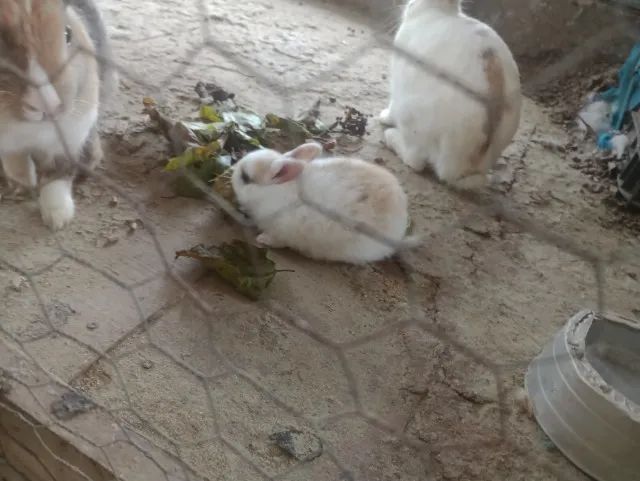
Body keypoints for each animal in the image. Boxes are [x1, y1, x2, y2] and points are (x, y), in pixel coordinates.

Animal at [0, 0, 115, 230]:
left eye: (68, 33)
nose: (48, 104)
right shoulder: (8, 143)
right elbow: (15, 161)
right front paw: (25, 181)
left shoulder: (70, 139)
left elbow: (57, 176)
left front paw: (58, 218)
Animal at [231, 142, 413, 264]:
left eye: (245, 177)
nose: (231, 171)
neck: (273, 193)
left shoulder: (283, 231)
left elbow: (276, 240)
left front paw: (262, 239)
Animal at [380, 0, 522, 189]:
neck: (439, 9)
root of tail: (459, 166)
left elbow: (391, 107)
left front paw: (383, 117)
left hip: (410, 115)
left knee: (415, 159)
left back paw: (391, 137)